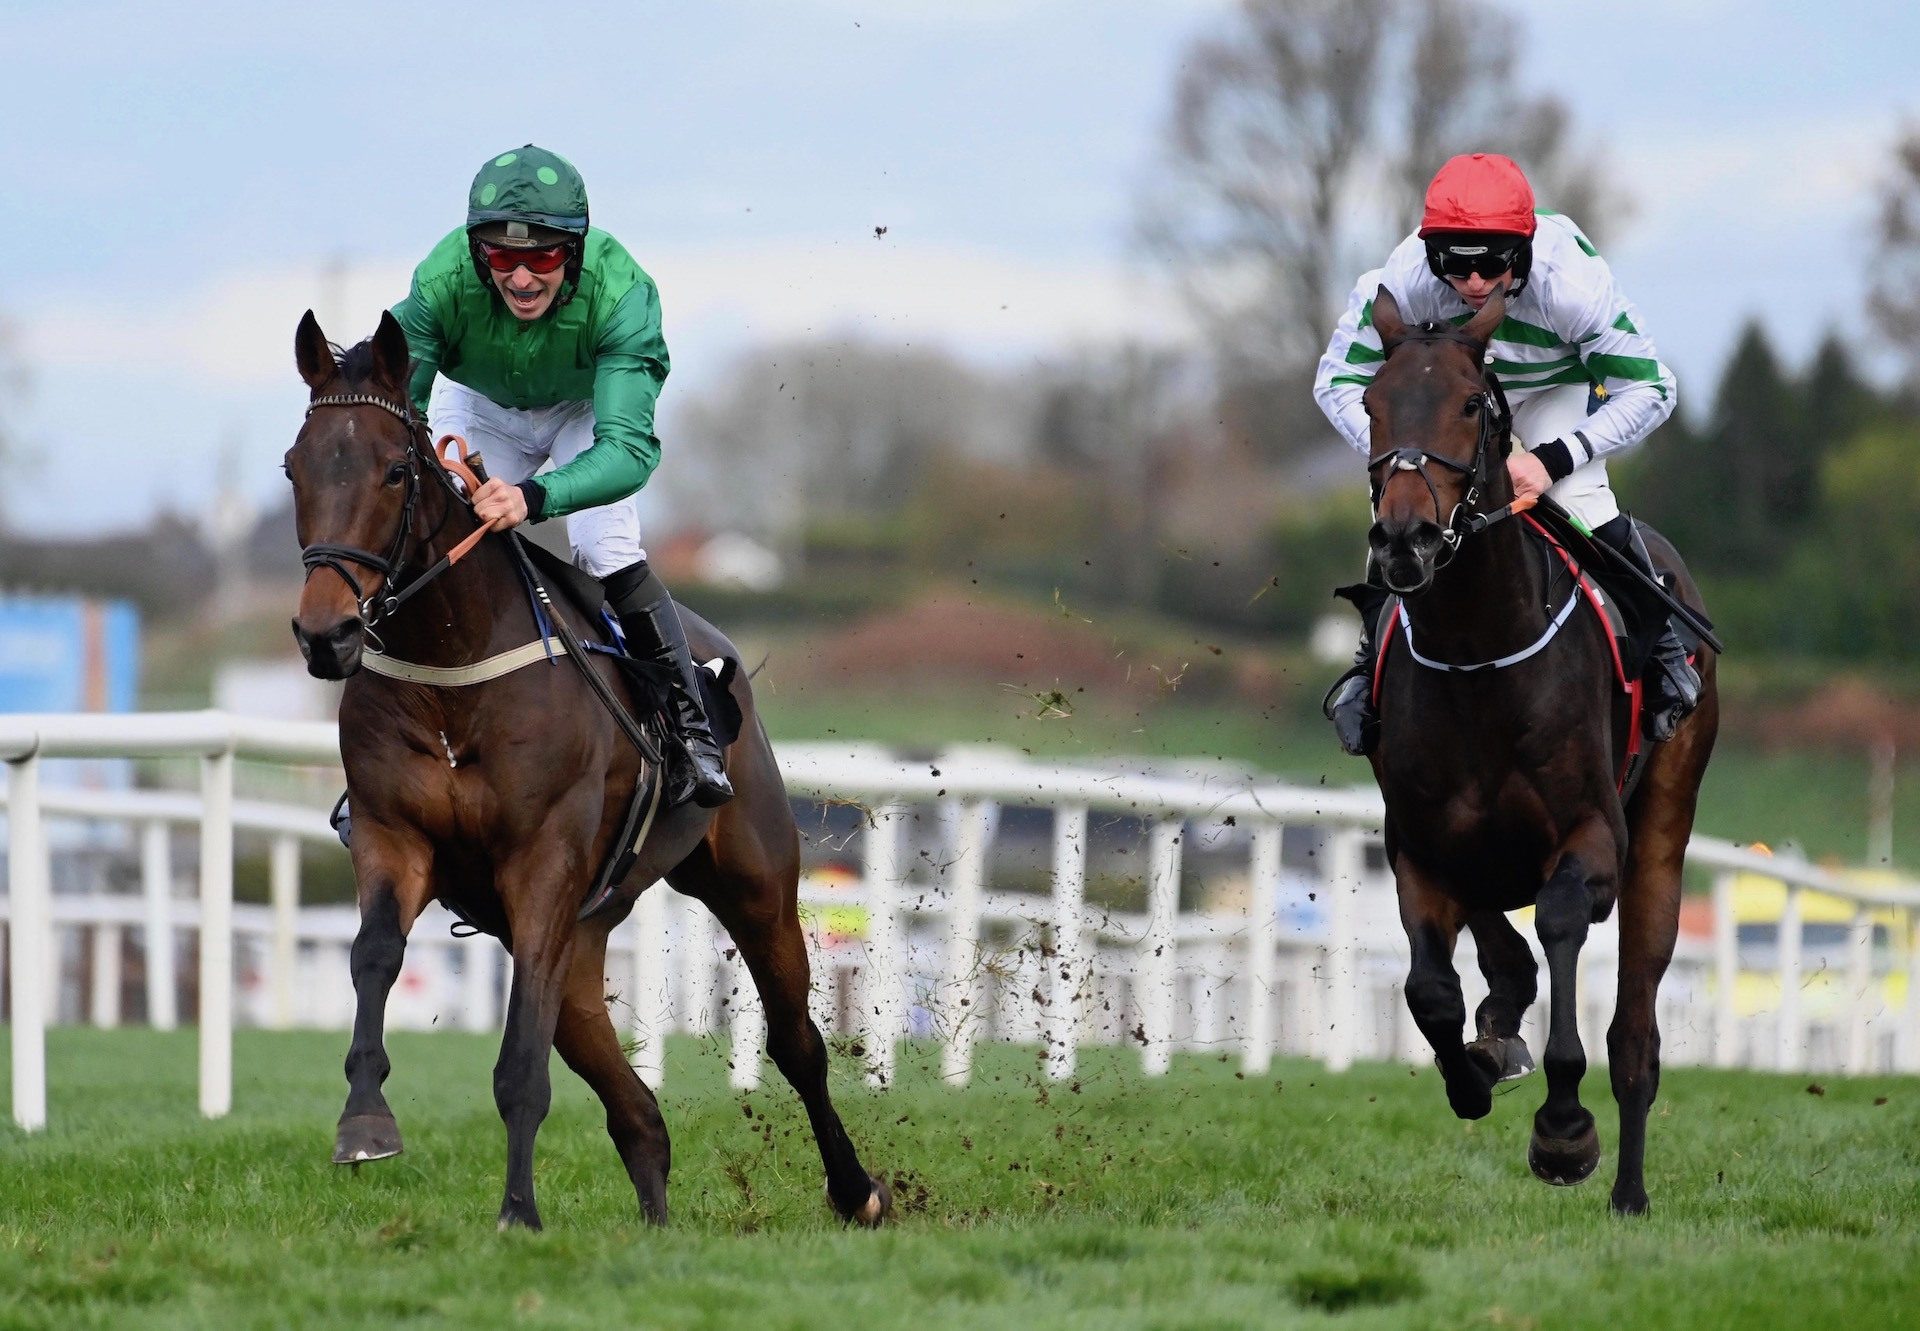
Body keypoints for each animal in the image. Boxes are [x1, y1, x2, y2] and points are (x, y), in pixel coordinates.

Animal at [284, 305, 890, 1229]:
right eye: (295, 468)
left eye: (393, 470)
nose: (327, 634)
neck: (455, 670)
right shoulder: (395, 836)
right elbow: (374, 955)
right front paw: (364, 1121)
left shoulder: (543, 860)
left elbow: (519, 1061)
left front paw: (517, 1212)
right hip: (584, 930)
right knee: (634, 1104)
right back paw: (657, 1215)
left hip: (753, 881)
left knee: (796, 1042)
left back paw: (857, 1190)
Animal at [1359, 286, 1720, 1206]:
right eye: (1373, 403)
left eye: (1470, 404)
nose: (1405, 540)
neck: (1478, 653)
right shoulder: (1420, 844)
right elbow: (1432, 990)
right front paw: (1477, 1069)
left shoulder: (1591, 837)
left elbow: (1558, 925)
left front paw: (1564, 1128)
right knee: (1502, 957)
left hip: (1662, 831)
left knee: (1636, 1034)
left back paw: (1628, 1190)